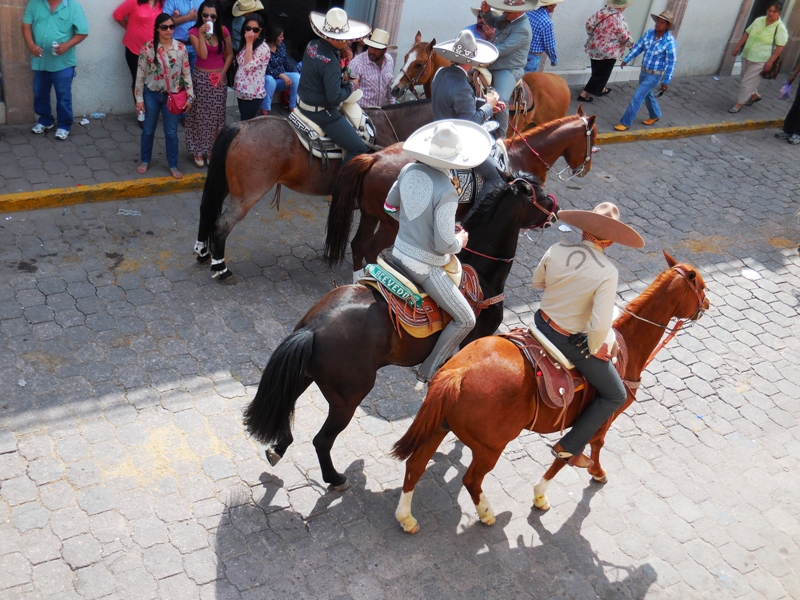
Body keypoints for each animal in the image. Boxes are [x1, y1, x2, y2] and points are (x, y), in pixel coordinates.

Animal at [195, 102, 433, 282]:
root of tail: (239, 126)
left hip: (225, 186)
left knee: (207, 210)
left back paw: (203, 252)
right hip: (247, 196)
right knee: (223, 223)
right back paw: (220, 268)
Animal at [242, 174, 558, 491]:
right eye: (540, 195)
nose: (555, 210)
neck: (482, 275)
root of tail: (314, 327)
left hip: (303, 377)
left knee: (285, 412)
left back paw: (278, 449)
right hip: (348, 398)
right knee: (322, 440)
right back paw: (334, 478)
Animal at [324, 111, 596, 278]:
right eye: (591, 142)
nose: (585, 170)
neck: (519, 158)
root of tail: (374, 157)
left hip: (370, 216)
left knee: (357, 245)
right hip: (391, 225)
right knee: (369, 248)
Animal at [390, 251, 709, 534]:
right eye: (702, 286)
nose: (707, 303)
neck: (627, 346)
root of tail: (458, 372)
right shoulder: (606, 414)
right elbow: (579, 450)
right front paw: (552, 489)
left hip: (439, 428)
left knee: (415, 465)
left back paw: (406, 517)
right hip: (490, 447)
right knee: (471, 479)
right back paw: (487, 514)